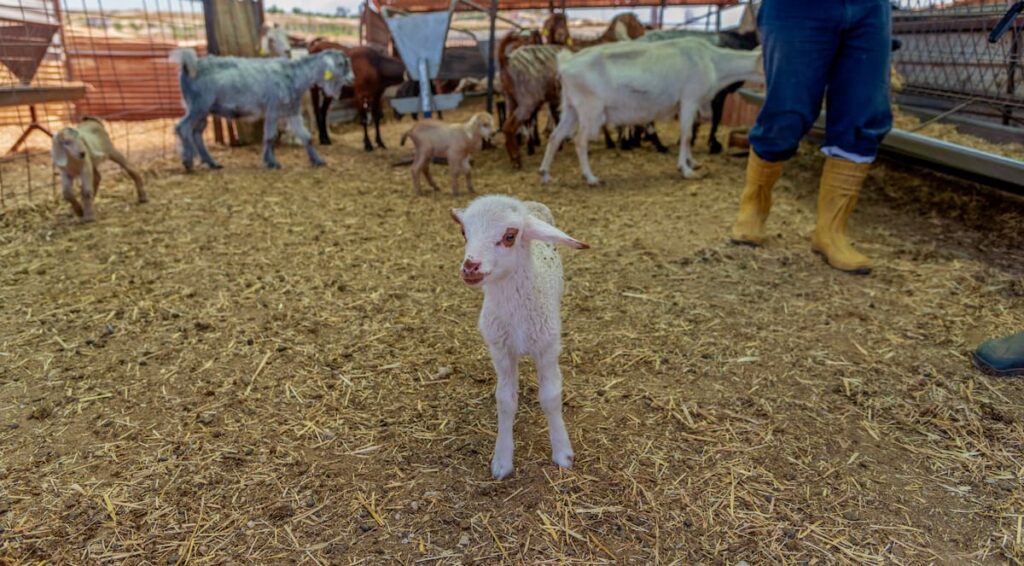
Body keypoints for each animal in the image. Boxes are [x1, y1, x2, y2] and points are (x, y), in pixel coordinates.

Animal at [169, 47, 354, 169]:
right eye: (340, 63)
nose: (352, 79)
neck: (295, 76)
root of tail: (189, 65)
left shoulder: (291, 112)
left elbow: (306, 136)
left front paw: (317, 160)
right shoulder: (273, 110)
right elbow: (271, 137)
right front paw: (271, 162)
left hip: (203, 110)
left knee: (196, 133)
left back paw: (212, 162)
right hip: (198, 105)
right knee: (182, 127)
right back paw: (188, 161)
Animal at [450, 196, 589, 479]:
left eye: (510, 236)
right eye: (464, 233)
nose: (470, 267)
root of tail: (529, 203)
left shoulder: (547, 347)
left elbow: (550, 397)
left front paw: (562, 453)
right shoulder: (500, 348)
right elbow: (505, 399)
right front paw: (502, 460)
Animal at [540, 37, 765, 183]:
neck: (713, 61)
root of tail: (565, 63)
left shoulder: (689, 103)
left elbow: (688, 133)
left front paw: (693, 162)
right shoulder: (689, 99)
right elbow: (686, 135)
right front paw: (685, 170)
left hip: (571, 107)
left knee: (555, 136)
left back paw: (545, 174)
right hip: (590, 108)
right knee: (579, 140)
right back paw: (590, 177)